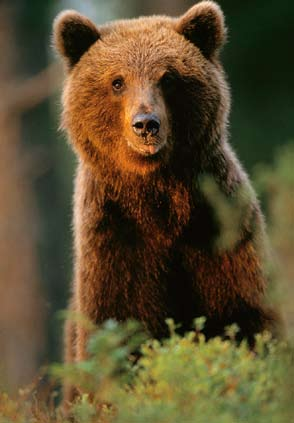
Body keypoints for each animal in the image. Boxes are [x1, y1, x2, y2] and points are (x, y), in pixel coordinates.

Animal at [52, 0, 280, 404]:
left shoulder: (219, 231)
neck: (158, 198)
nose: (146, 124)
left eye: (168, 78)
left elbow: (245, 319)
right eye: (117, 81)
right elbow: (116, 331)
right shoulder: (116, 238)